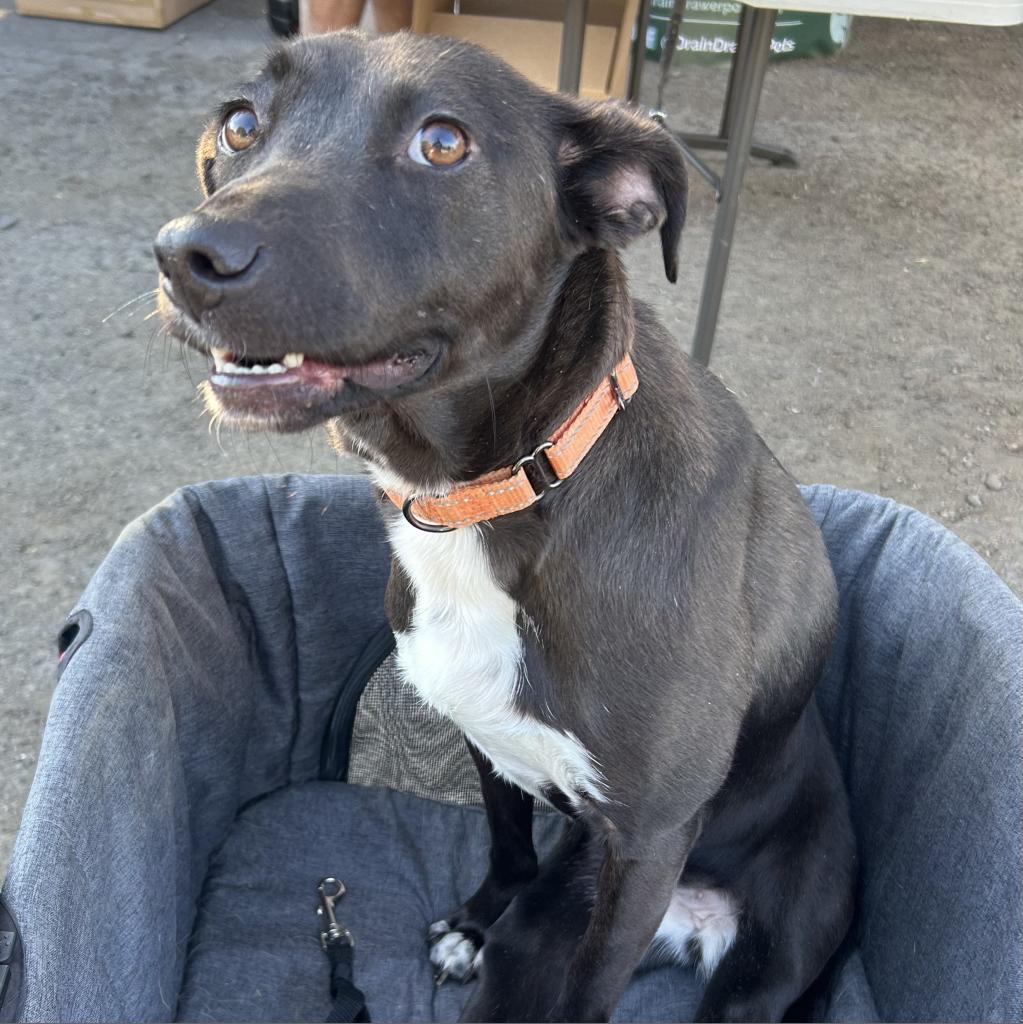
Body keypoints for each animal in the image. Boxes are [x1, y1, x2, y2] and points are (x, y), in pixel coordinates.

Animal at [151, 29, 856, 1015]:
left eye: (442, 143)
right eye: (241, 124)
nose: (187, 257)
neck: (494, 496)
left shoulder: (647, 843)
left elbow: (590, 989)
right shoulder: (491, 743)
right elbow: (507, 842)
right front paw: (477, 920)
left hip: (763, 964)